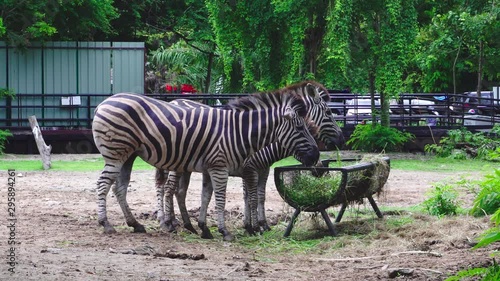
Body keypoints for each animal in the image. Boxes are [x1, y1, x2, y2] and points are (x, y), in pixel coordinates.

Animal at [93, 88, 320, 240]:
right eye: (300, 128)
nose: (316, 155)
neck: (239, 133)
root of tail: (104, 103)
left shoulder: (212, 167)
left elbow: (207, 196)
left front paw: (204, 228)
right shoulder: (223, 167)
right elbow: (223, 199)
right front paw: (228, 231)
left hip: (128, 155)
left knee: (120, 187)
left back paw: (136, 224)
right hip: (116, 153)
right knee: (103, 184)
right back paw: (106, 224)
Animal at [158, 81, 346, 236]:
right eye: (328, 112)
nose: (341, 140)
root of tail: (173, 102)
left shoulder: (261, 169)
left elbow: (256, 196)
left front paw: (257, 225)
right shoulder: (250, 168)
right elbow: (252, 198)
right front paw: (254, 227)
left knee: (176, 190)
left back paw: (181, 223)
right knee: (168, 188)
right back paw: (170, 223)